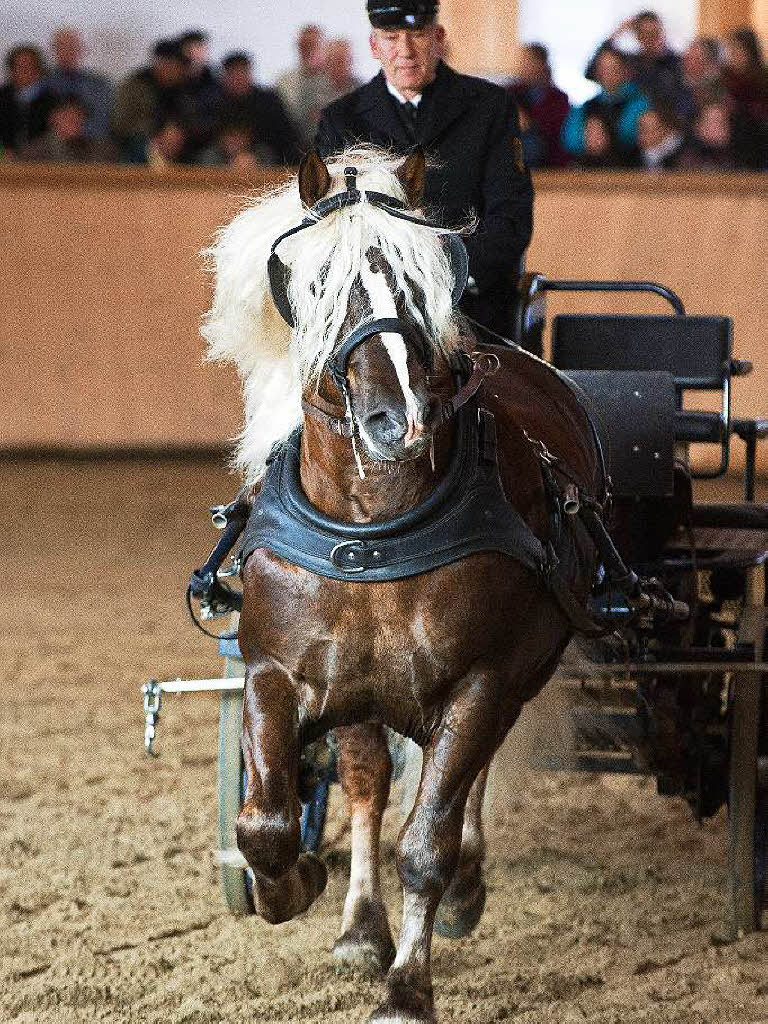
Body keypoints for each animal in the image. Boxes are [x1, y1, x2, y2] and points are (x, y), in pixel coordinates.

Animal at [204, 148, 602, 1019]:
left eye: (427, 277)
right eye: (315, 282)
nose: (399, 420)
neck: (375, 531)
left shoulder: (480, 680)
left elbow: (427, 843)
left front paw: (409, 987)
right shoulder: (275, 672)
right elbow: (266, 823)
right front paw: (297, 885)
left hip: (512, 675)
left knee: (465, 783)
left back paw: (460, 890)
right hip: (360, 691)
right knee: (365, 782)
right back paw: (359, 926)